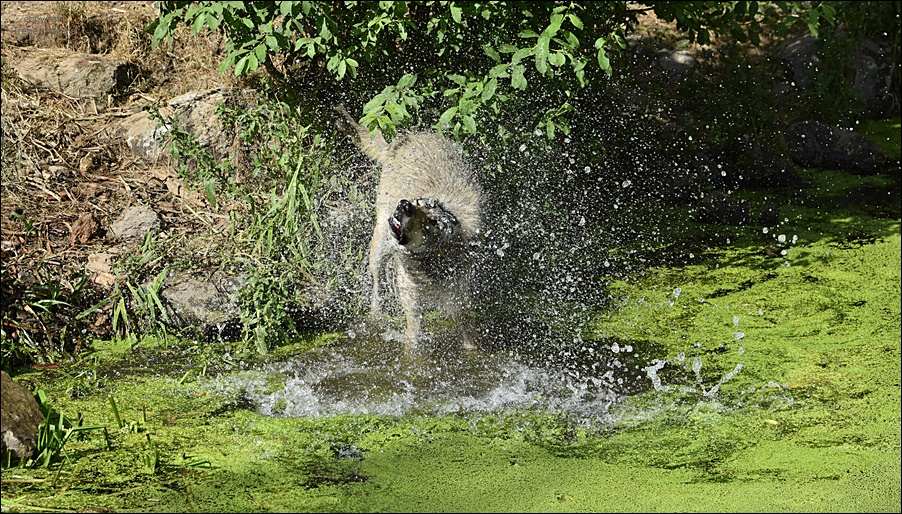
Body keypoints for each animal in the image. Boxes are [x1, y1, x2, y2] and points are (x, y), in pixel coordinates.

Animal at [336, 106, 484, 346]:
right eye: (419, 203)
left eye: (433, 222)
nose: (404, 204)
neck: (430, 265)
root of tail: (404, 137)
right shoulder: (413, 312)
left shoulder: (461, 310)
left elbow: (471, 345)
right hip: (379, 249)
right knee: (377, 288)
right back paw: (375, 316)